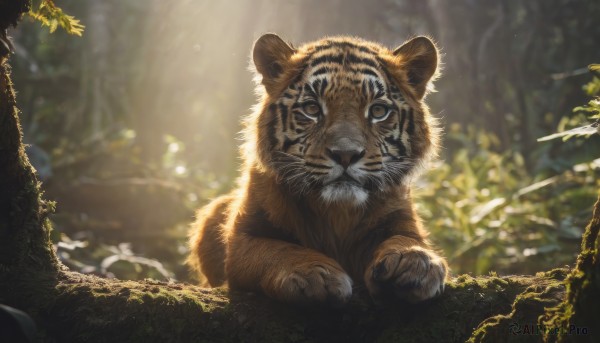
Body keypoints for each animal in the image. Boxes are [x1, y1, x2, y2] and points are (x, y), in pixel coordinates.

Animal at [190, 33, 448, 306]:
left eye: (378, 110)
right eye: (312, 109)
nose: (346, 154)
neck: (338, 213)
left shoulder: (402, 218)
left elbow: (406, 238)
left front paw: (415, 262)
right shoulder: (243, 237)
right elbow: (278, 249)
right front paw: (314, 274)